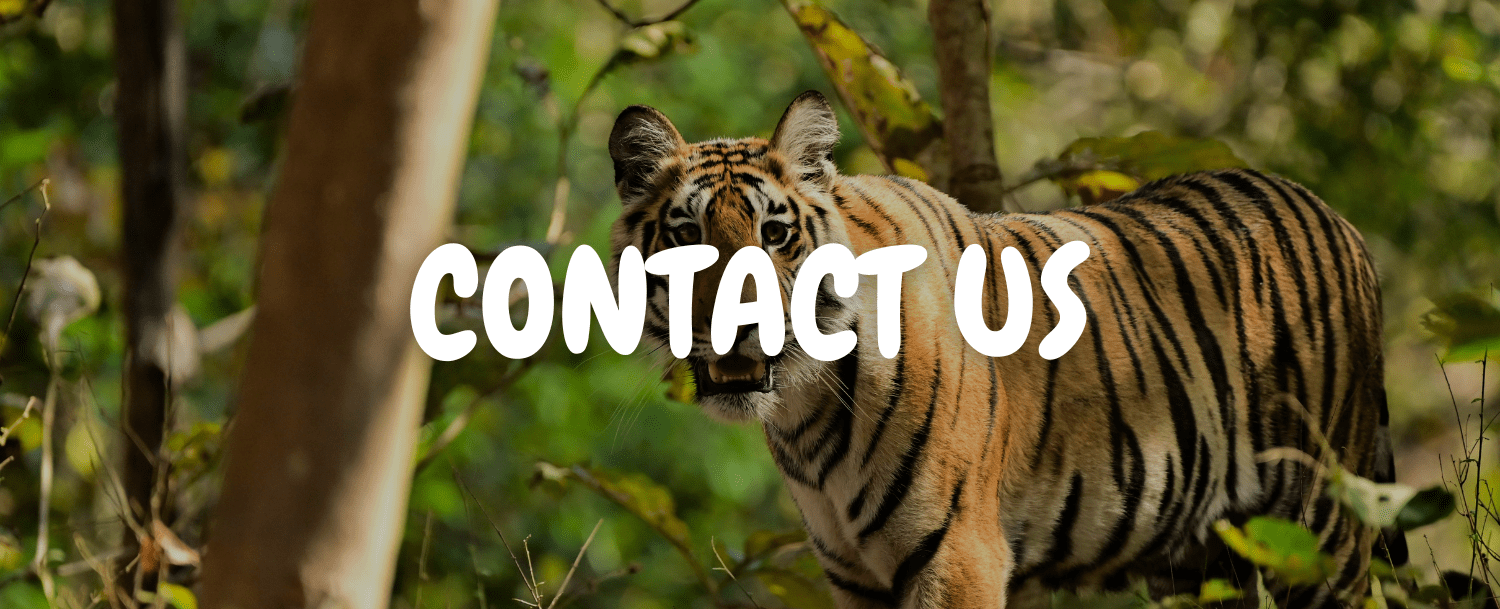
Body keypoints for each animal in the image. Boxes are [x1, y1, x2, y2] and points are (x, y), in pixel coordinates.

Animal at [605, 90, 1406, 608]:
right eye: (685, 235)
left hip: (1321, 528)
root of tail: (1336, 216)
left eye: (774, 234)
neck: (805, 409)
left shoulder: (958, 554)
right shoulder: (853, 573)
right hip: (1203, 558)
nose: (734, 320)